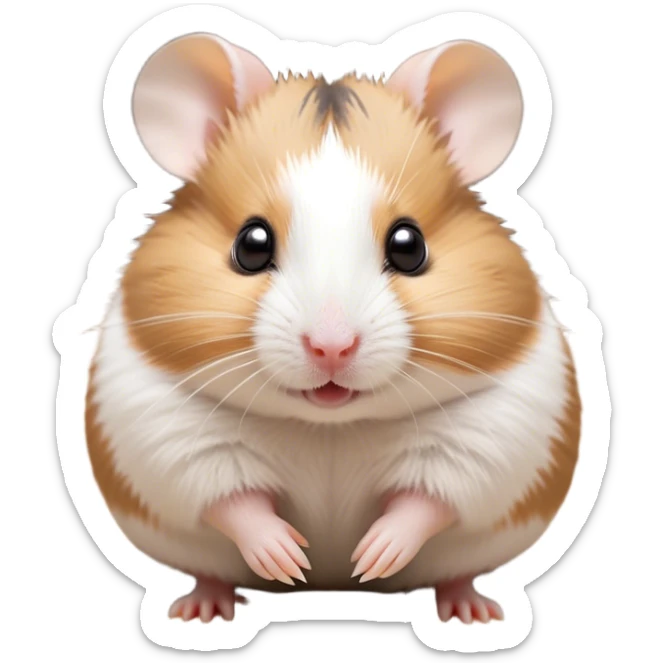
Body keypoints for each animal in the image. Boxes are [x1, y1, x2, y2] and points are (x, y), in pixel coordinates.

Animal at [86, 33, 581, 625]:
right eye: (251, 244)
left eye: (409, 245)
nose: (331, 349)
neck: (330, 426)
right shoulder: (165, 430)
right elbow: (233, 500)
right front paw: (289, 559)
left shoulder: (495, 431)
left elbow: (427, 500)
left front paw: (371, 557)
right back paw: (200, 610)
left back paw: (472, 612)